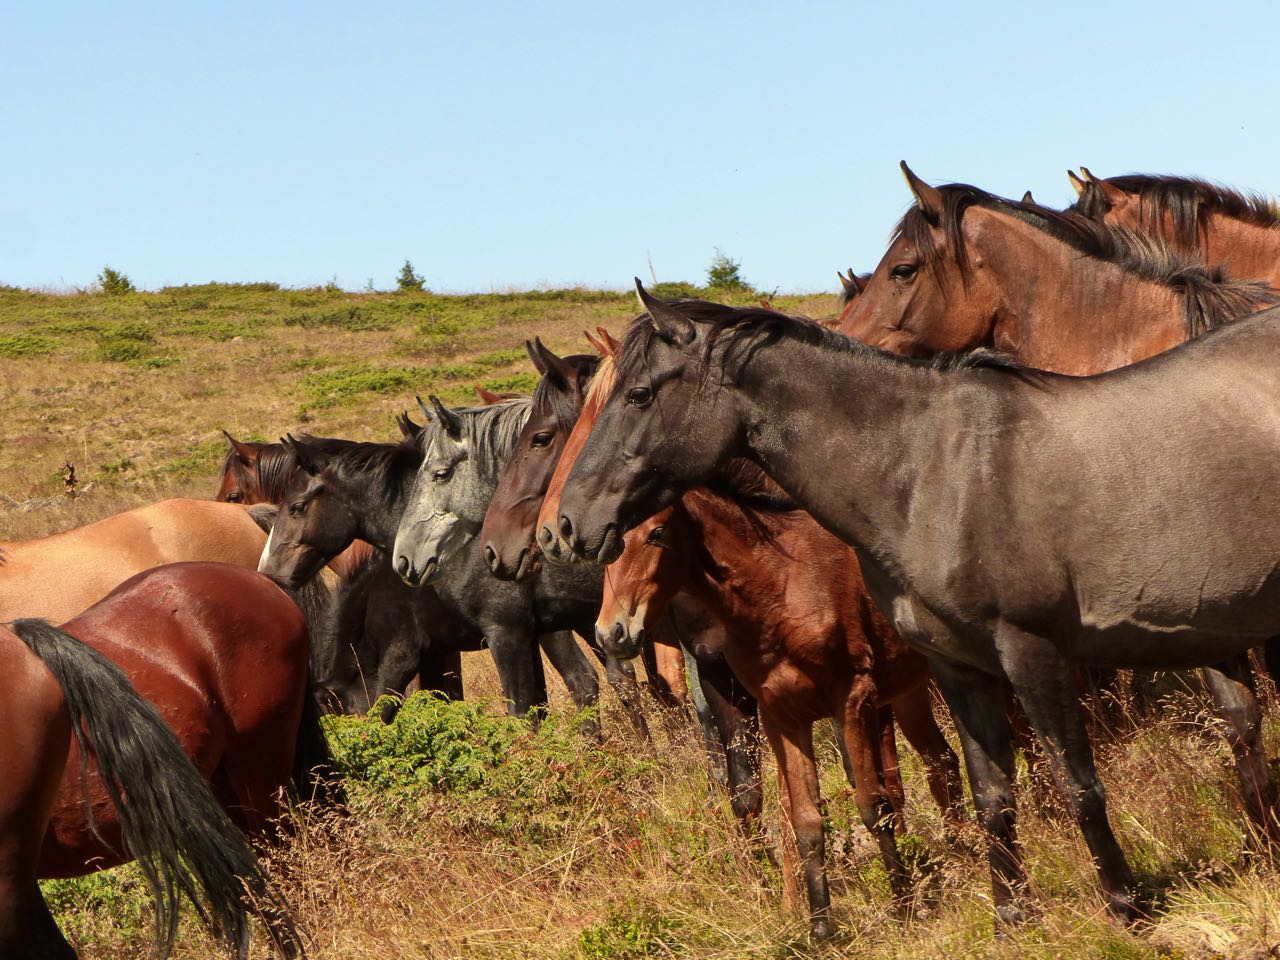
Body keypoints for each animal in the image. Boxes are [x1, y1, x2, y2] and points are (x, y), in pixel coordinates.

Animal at [593, 465, 962, 931]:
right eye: (607, 547)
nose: (612, 633)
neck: (780, 589)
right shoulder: (783, 716)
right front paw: (820, 926)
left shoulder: (852, 701)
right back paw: (965, 855)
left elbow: (872, 805)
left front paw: (904, 906)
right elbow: (805, 818)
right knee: (943, 761)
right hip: (908, 692)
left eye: (656, 532)